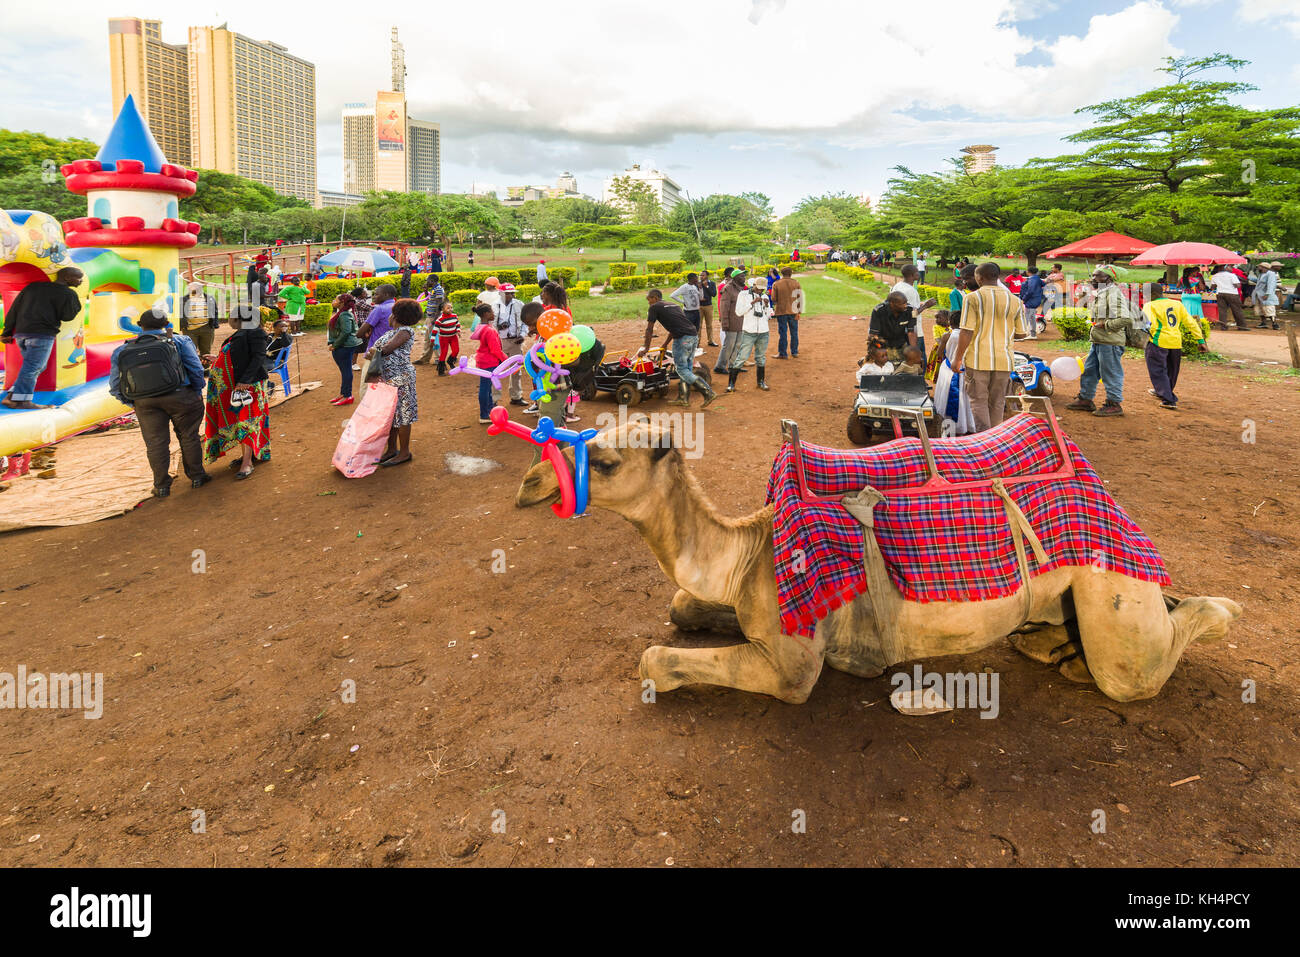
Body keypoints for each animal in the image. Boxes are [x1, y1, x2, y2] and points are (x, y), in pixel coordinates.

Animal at [512, 418, 1242, 702]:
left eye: (605, 460)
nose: (531, 484)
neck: (746, 551)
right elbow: (682, 604)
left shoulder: (793, 666)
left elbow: (655, 660)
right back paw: (1058, 651)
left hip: (1109, 580)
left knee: (1140, 663)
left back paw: (1216, 609)